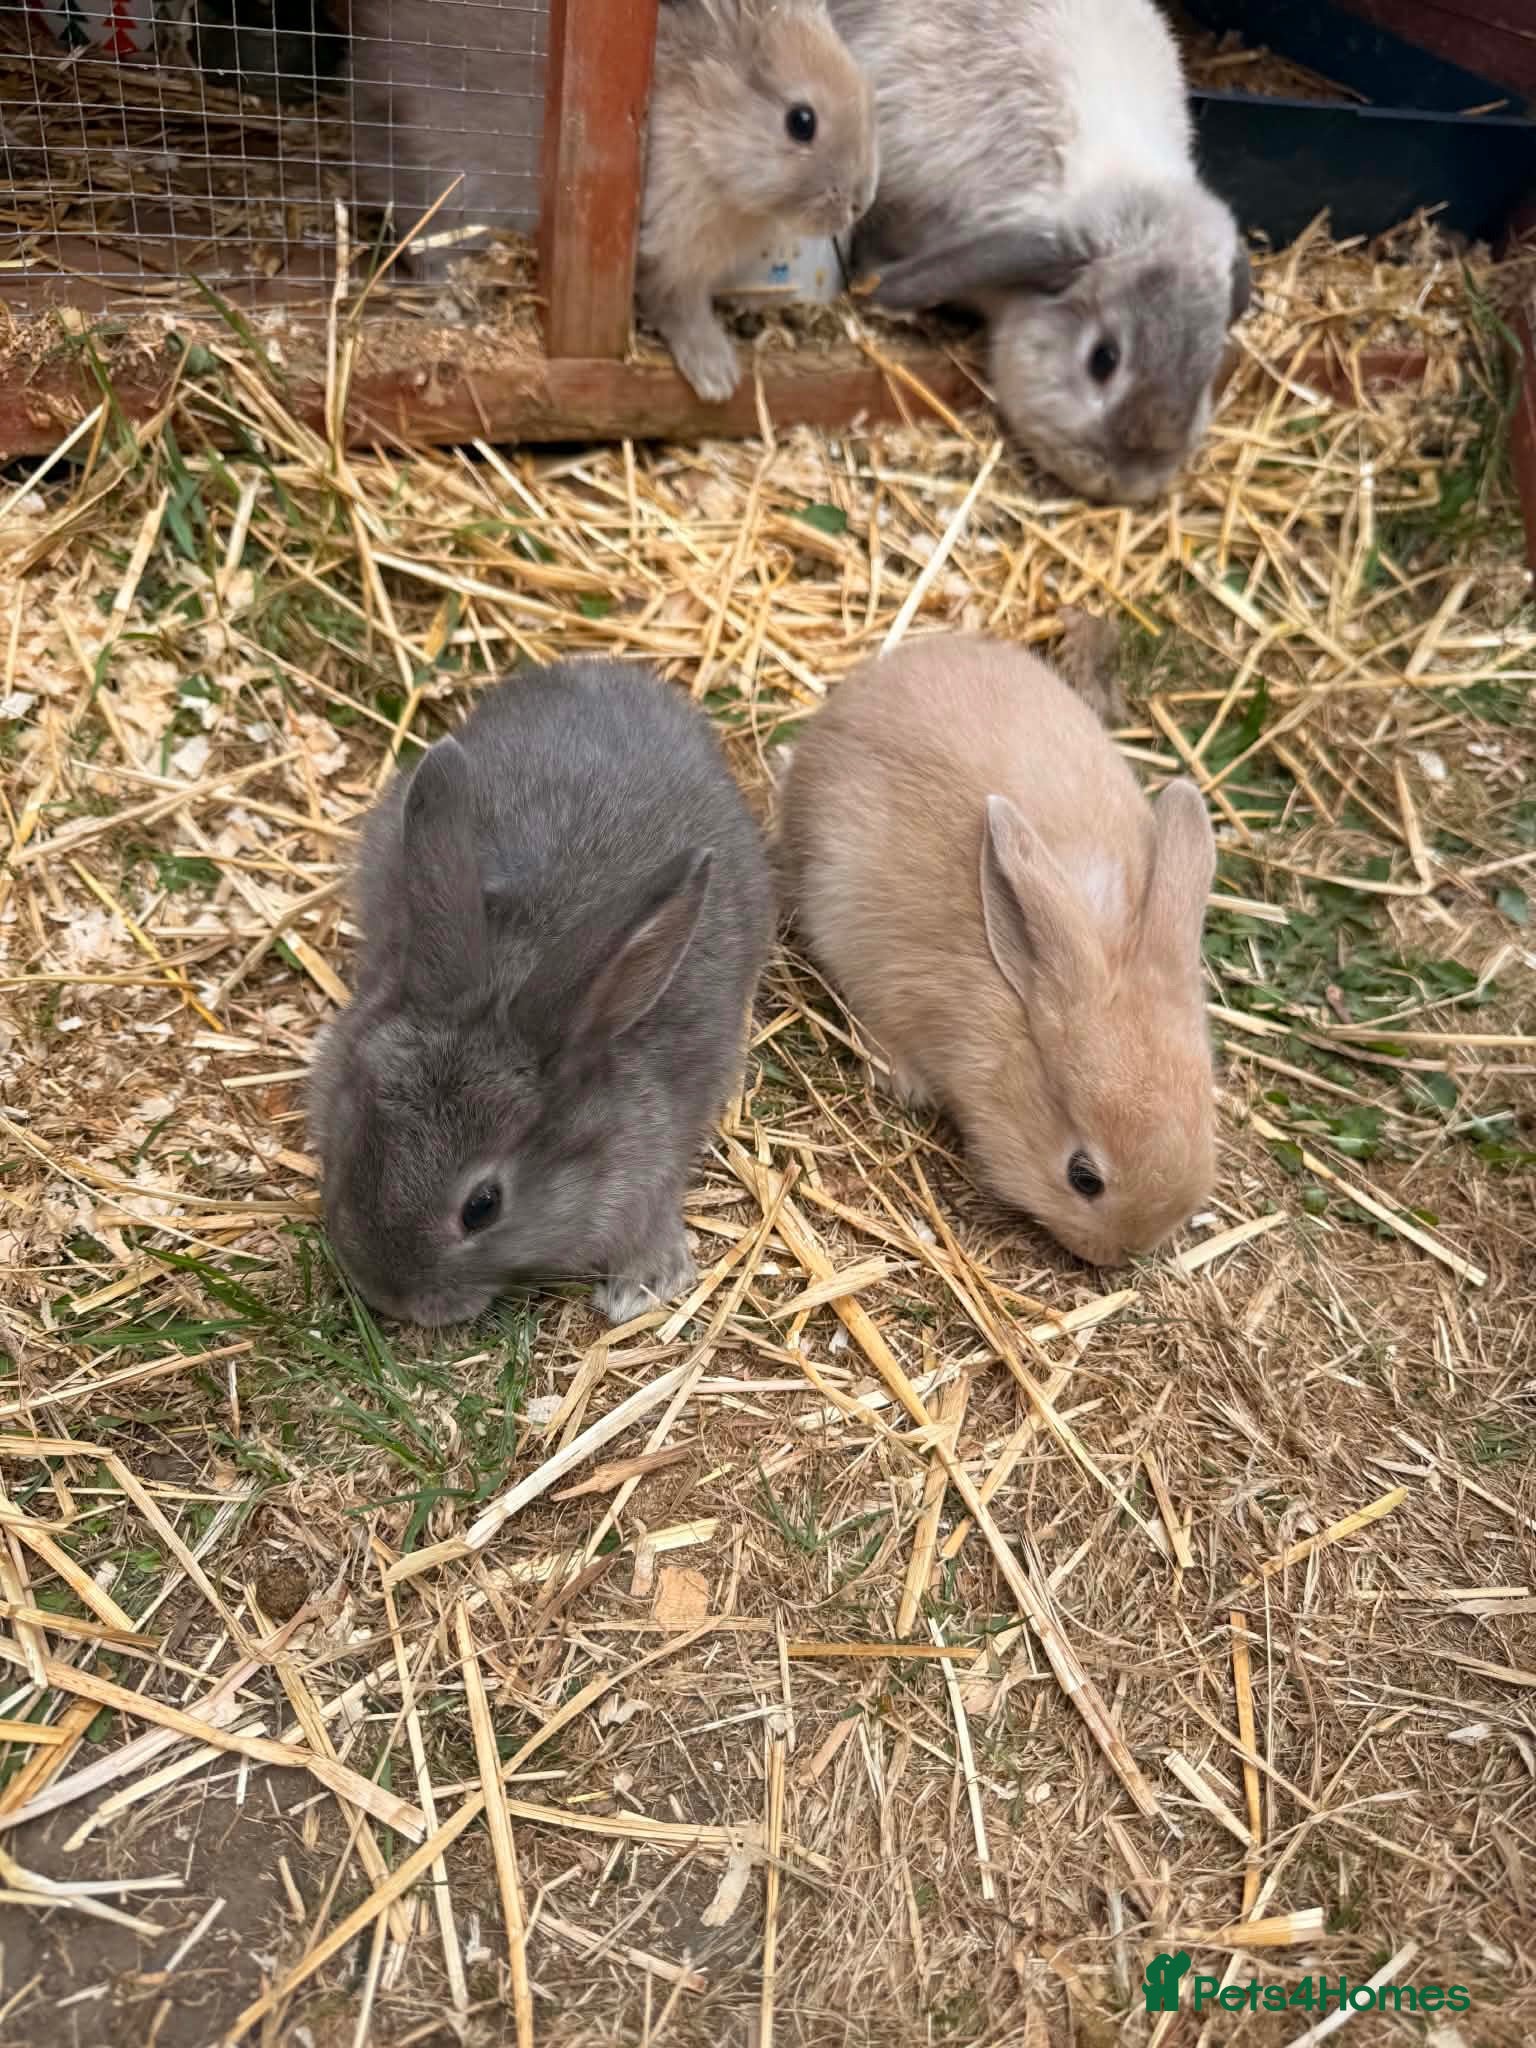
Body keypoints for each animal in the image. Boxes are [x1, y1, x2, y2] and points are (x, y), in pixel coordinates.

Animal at [309, 659, 774, 1328]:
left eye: (482, 1206)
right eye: (349, 1132)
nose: (386, 1293)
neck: (512, 977)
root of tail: (605, 670)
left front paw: (643, 1282)